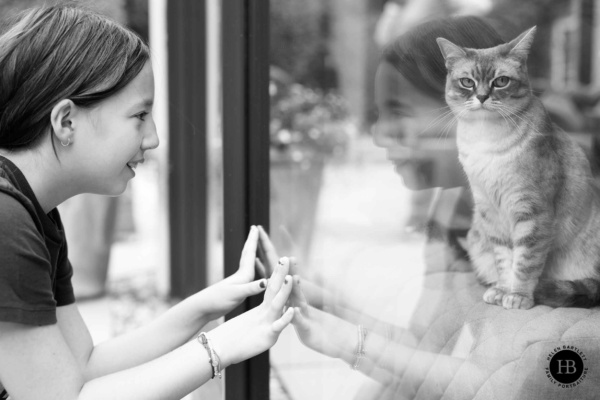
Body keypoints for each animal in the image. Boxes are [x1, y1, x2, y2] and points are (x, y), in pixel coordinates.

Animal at [434, 27, 600, 310]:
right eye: (467, 82)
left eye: (501, 81)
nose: (482, 97)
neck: (486, 140)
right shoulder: (490, 211)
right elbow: (504, 260)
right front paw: (502, 290)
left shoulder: (532, 211)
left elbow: (525, 262)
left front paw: (519, 296)